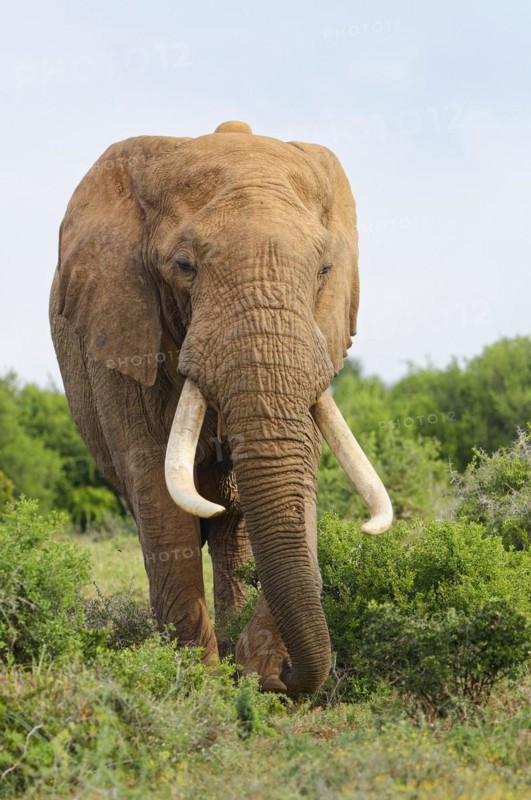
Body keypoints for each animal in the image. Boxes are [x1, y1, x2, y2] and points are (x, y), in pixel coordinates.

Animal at [50, 120, 392, 695]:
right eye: (184, 265)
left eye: (324, 268)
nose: (284, 678)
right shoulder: (124, 337)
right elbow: (158, 492)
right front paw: (198, 683)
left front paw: (249, 673)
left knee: (235, 532)